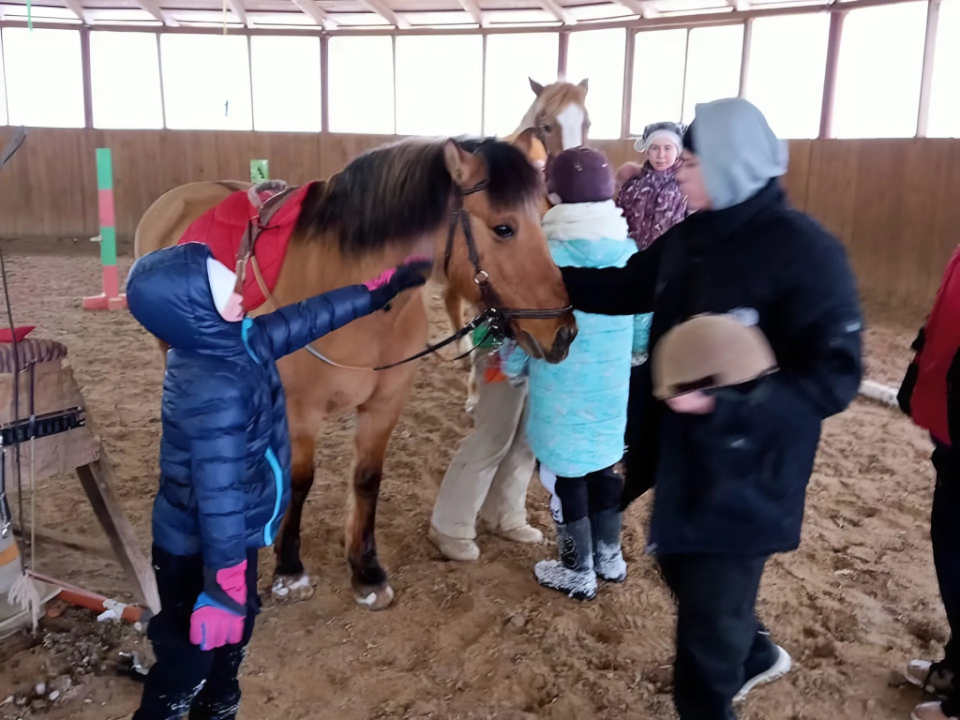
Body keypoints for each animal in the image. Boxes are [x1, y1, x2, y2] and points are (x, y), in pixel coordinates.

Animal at [131, 134, 572, 608]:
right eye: (503, 228)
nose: (564, 332)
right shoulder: (302, 411)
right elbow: (300, 481)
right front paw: (291, 570)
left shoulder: (384, 406)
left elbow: (366, 480)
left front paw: (366, 570)